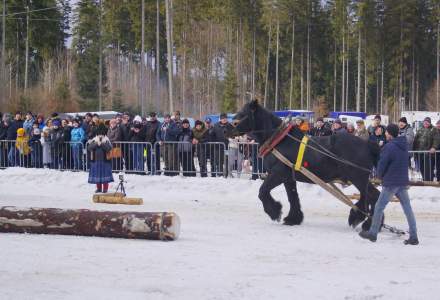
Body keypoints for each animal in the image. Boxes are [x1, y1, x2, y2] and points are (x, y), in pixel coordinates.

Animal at [232, 101, 380, 230]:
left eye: (243, 113)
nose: (229, 128)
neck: (279, 140)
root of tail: (368, 145)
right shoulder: (289, 178)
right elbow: (293, 197)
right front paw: (293, 218)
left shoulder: (278, 174)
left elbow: (262, 191)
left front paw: (275, 212)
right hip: (360, 178)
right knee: (369, 196)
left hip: (358, 177)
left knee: (373, 196)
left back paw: (366, 223)